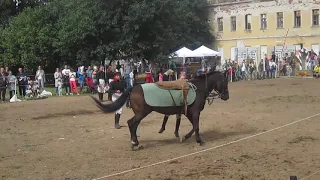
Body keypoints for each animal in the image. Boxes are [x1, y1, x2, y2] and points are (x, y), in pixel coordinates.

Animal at [91, 70, 229, 150]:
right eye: (225, 81)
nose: (226, 96)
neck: (197, 88)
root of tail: (133, 88)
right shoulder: (195, 112)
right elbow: (196, 126)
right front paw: (192, 139)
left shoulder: (189, 113)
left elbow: (195, 126)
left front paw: (192, 138)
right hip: (142, 113)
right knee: (131, 123)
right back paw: (134, 142)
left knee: (133, 125)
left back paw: (136, 142)